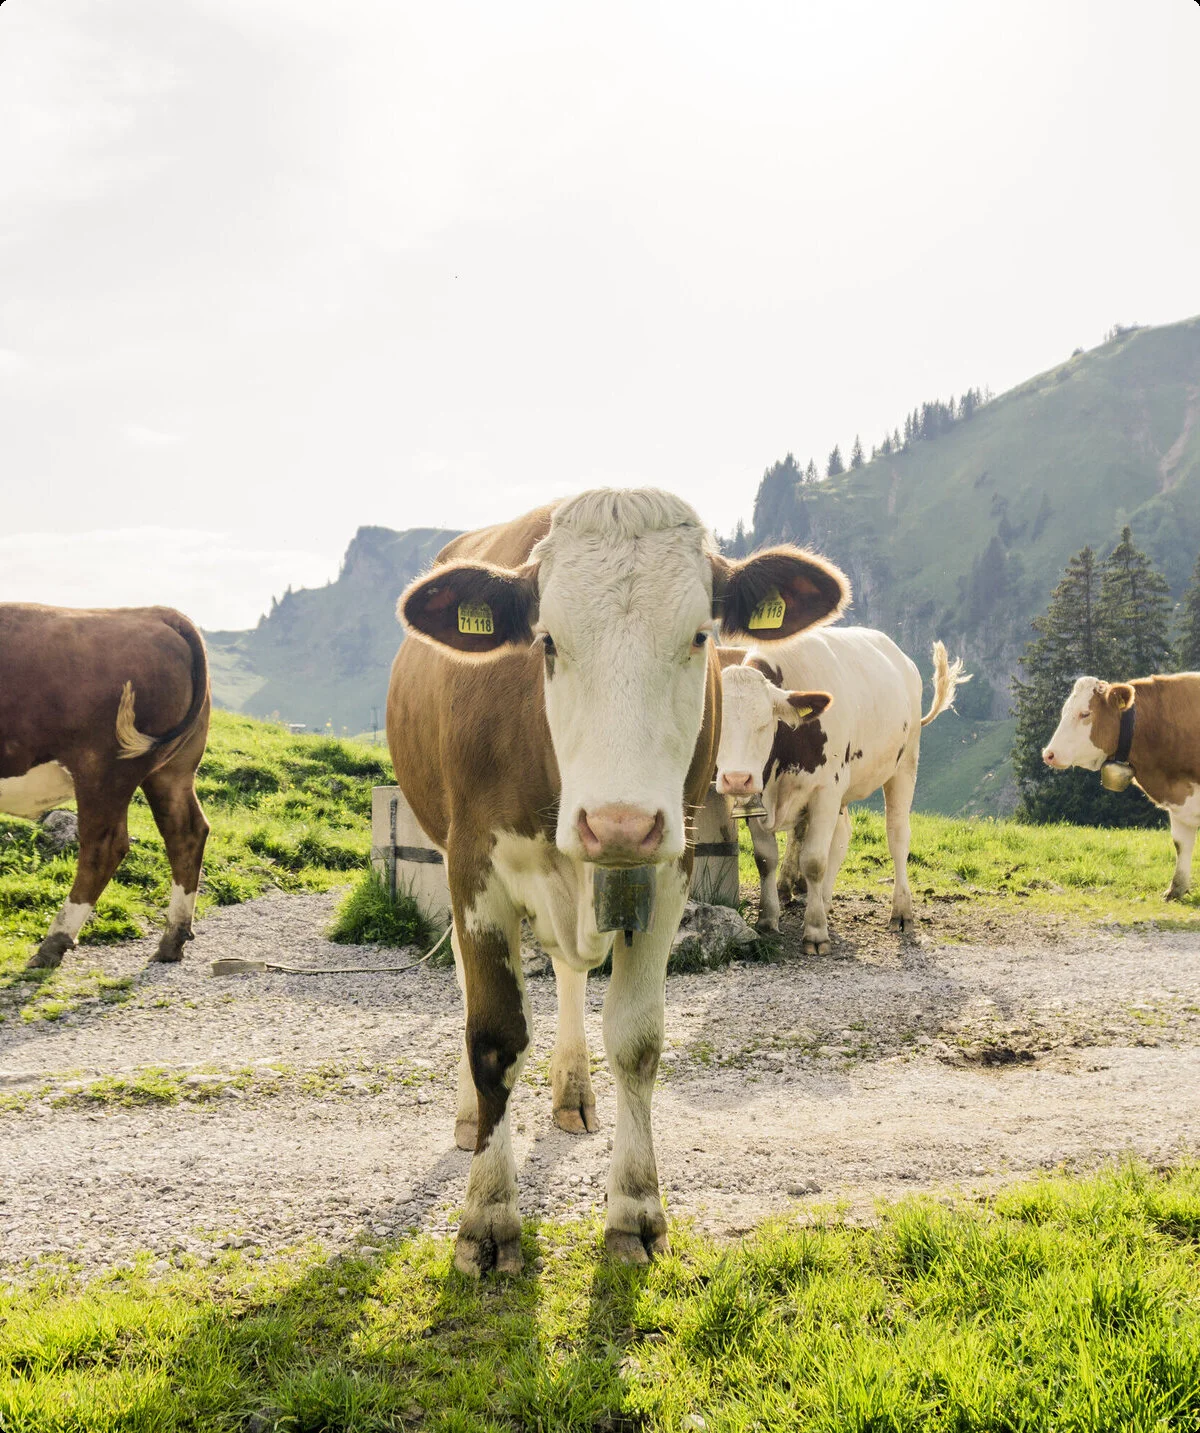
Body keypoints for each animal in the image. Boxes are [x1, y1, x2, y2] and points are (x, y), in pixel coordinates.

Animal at [0, 605, 211, 968]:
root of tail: (157, 612)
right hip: (173, 770)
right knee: (186, 832)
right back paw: (172, 941)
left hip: (103, 770)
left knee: (103, 847)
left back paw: (53, 943)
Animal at [387, 489, 849, 1275]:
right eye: (545, 641)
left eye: (698, 637)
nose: (619, 822)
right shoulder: (473, 866)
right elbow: (494, 1036)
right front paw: (488, 1215)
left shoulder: (668, 866)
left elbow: (636, 1039)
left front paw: (635, 1208)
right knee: (471, 992)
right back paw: (468, 1116)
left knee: (571, 974)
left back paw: (572, 1090)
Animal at [715, 629, 969, 953]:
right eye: (716, 723)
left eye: (764, 724)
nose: (736, 779)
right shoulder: (759, 799)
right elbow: (765, 859)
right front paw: (768, 920)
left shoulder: (825, 791)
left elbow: (813, 861)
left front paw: (815, 932)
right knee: (842, 836)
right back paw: (823, 900)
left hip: (904, 765)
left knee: (897, 837)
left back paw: (901, 912)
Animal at [1043, 673, 1200, 899]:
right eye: (1064, 711)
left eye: (1085, 713)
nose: (1049, 754)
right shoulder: (1180, 802)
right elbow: (1181, 843)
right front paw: (1175, 890)